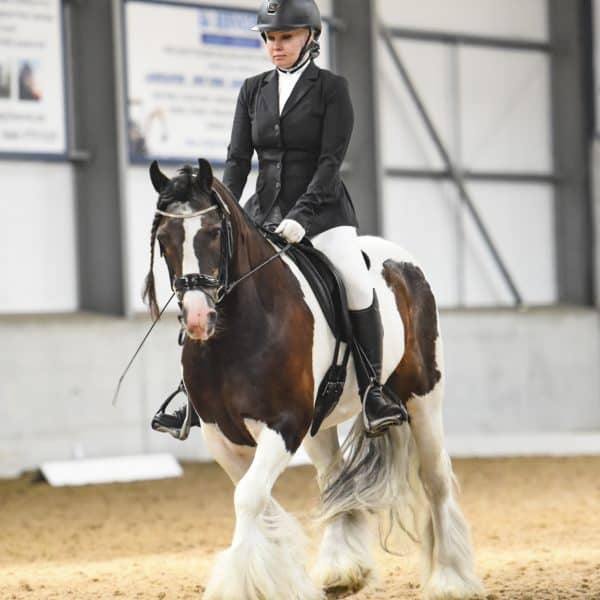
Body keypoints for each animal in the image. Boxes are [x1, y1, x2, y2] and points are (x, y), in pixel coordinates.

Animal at [143, 159, 486, 600]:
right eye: (163, 239)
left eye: (214, 231)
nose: (199, 318)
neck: (237, 331)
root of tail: (401, 262)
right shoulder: (221, 435)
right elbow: (255, 499)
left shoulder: (285, 424)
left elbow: (249, 497)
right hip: (319, 426)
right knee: (334, 477)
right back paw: (344, 570)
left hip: (423, 399)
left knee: (435, 479)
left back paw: (450, 580)